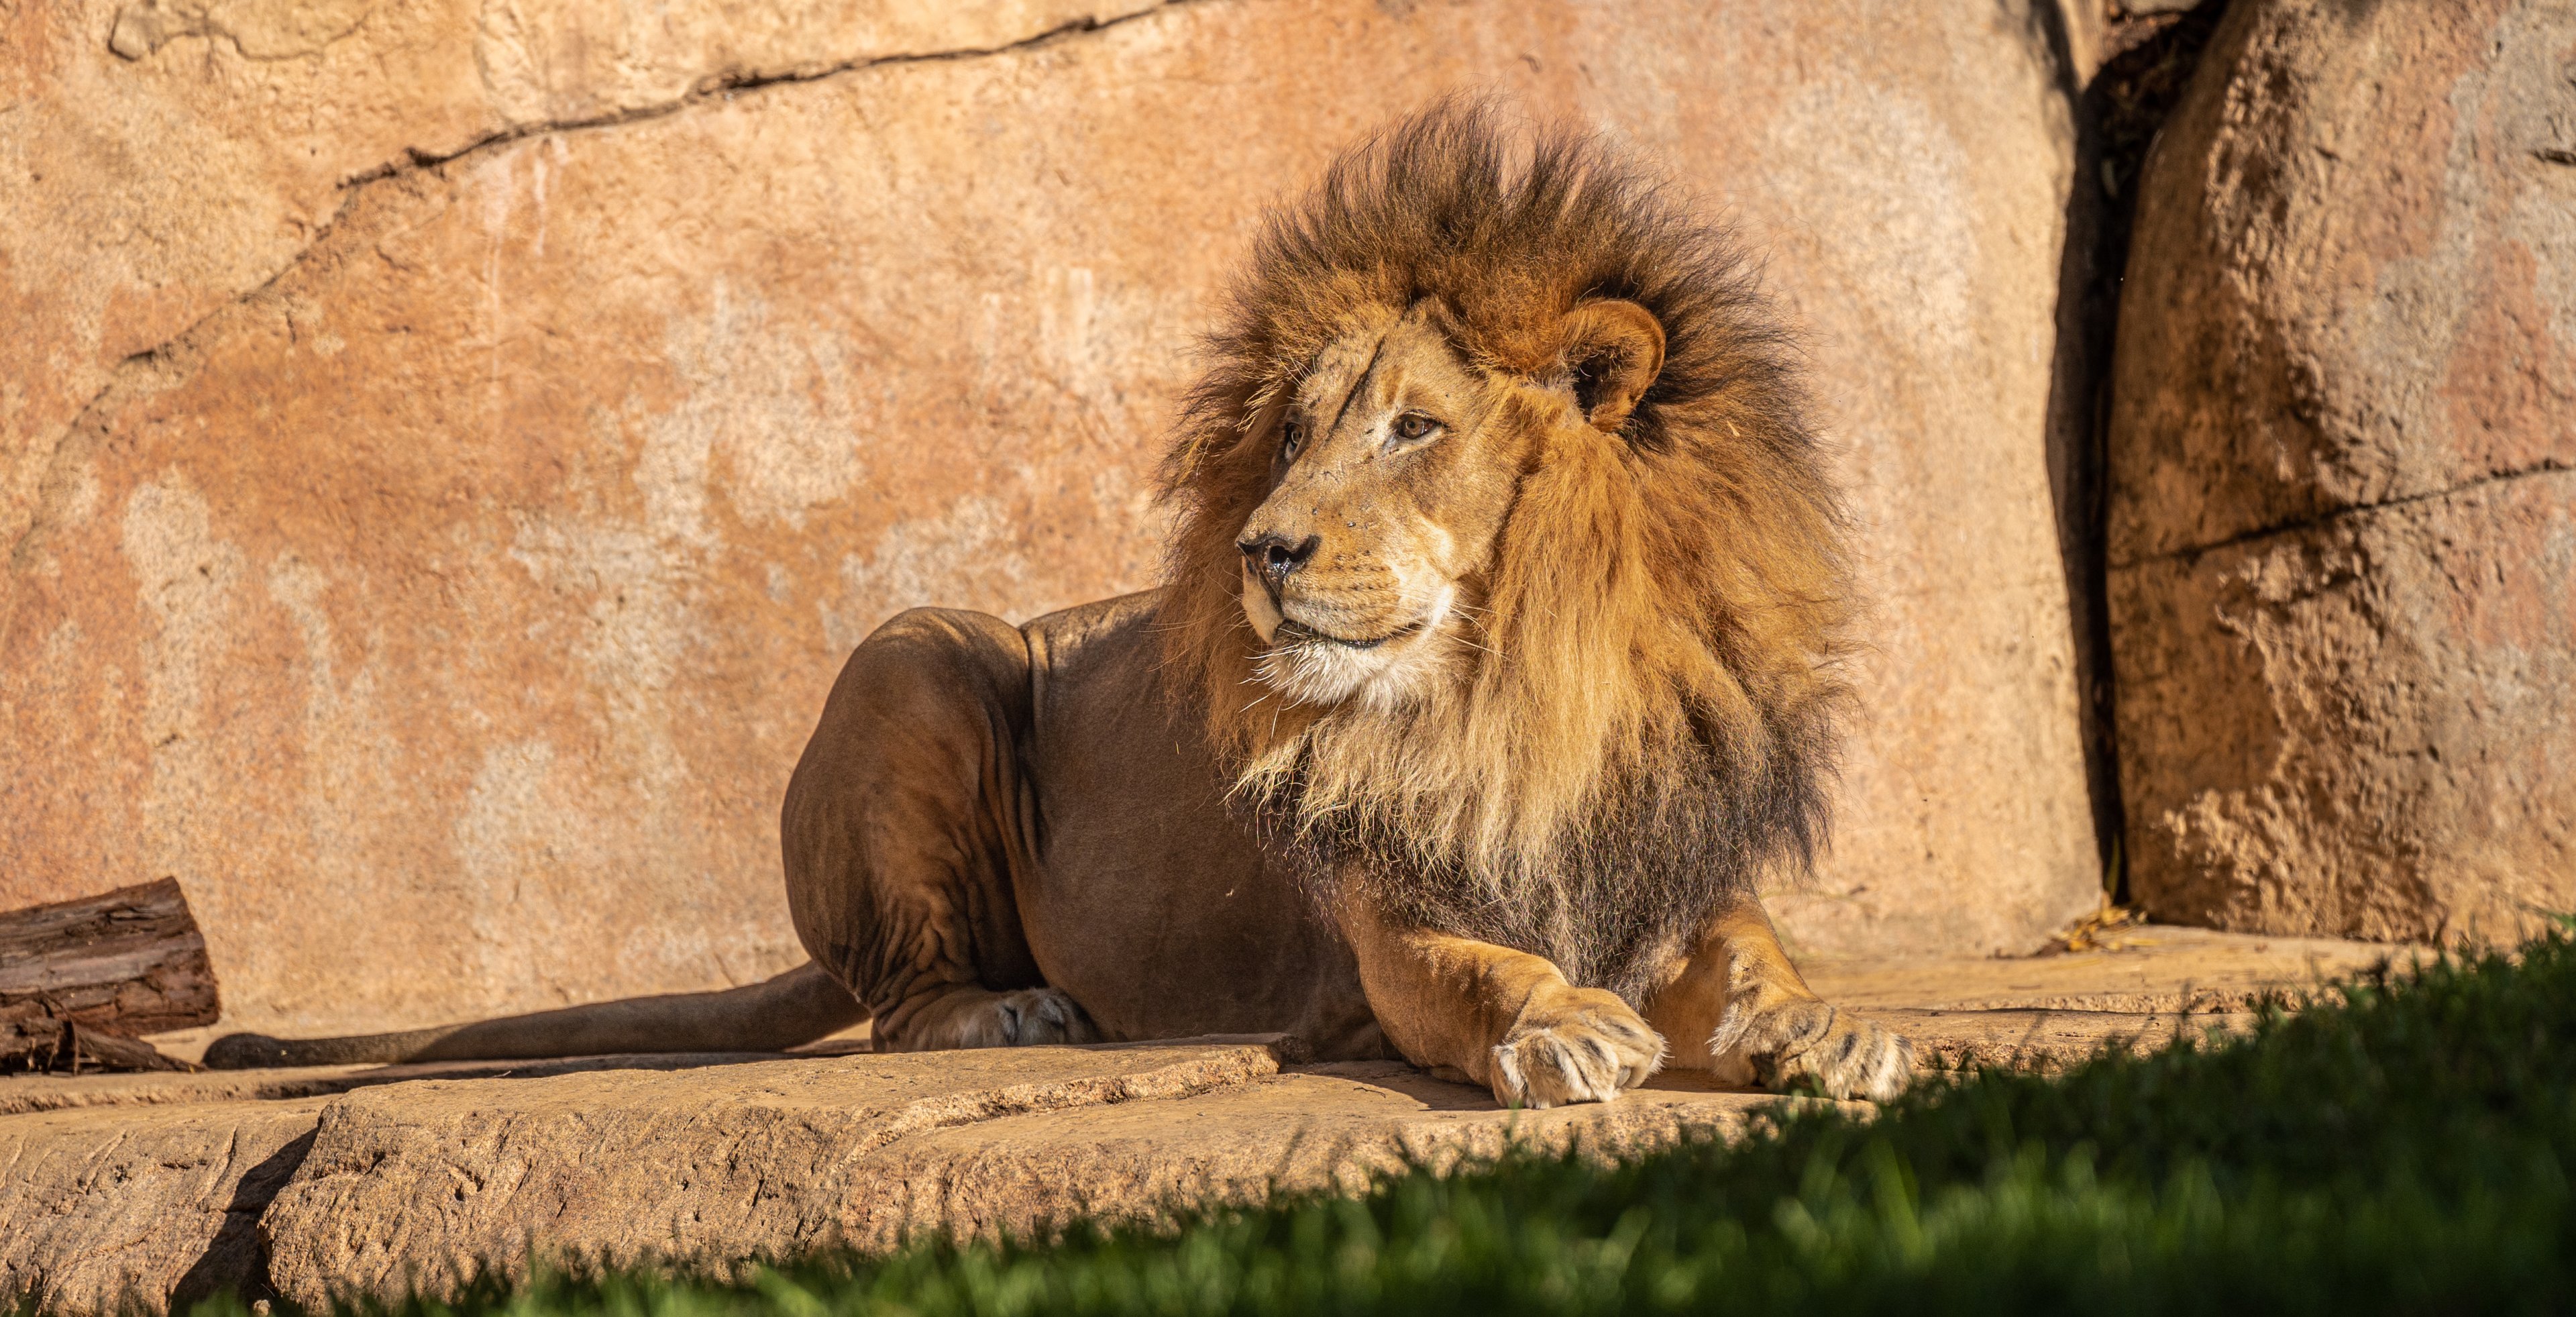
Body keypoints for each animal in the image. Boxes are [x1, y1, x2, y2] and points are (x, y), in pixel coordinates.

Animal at [206, 105, 1914, 1106]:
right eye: (1289, 436)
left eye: (1414, 427)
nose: (1261, 551)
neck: (1518, 693)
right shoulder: (1381, 928)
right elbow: (1472, 967)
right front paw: (1562, 1024)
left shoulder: (1672, 863)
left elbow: (1757, 957)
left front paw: (1828, 1029)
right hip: (917, 652)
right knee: (900, 1003)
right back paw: (1022, 1014)